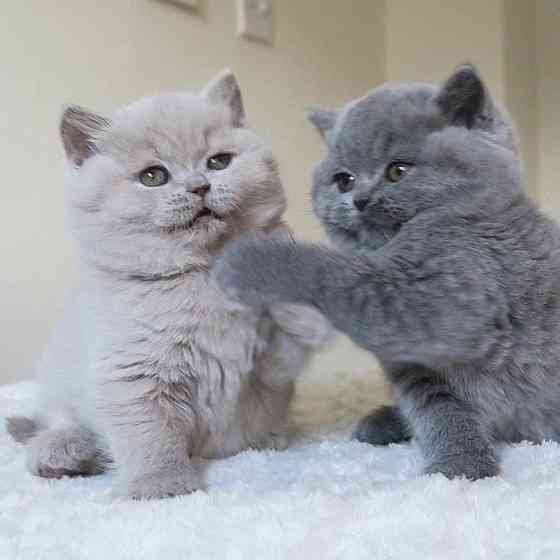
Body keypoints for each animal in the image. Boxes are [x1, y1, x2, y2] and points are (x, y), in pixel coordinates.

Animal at [6, 71, 330, 498]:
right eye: (153, 176)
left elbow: (294, 331)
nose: (199, 186)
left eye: (218, 162)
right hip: (61, 379)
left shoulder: (273, 371)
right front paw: (162, 486)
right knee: (55, 423)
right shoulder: (133, 374)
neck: (204, 277)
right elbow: (150, 435)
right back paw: (64, 453)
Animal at [212, 63, 560, 480]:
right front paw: (457, 463)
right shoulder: (415, 368)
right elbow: (438, 410)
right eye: (343, 179)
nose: (360, 200)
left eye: (398, 170)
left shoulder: (448, 297)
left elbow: (338, 274)